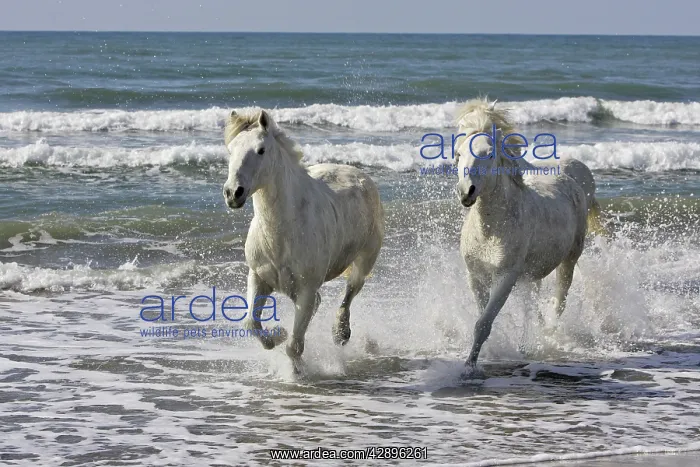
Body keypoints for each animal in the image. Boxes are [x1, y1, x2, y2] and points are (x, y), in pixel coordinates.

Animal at [222, 109, 385, 370]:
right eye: (231, 149)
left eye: (261, 150)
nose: (232, 193)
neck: (282, 234)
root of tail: (359, 174)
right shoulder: (258, 277)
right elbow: (251, 324)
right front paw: (277, 334)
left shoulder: (307, 289)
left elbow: (294, 347)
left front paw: (296, 370)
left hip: (365, 260)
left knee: (350, 291)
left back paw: (341, 333)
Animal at [454, 98, 590, 371]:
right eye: (459, 154)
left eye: (488, 154)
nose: (466, 192)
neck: (490, 232)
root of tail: (569, 175)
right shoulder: (475, 276)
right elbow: (482, 318)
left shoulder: (506, 277)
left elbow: (483, 323)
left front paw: (470, 366)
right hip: (530, 276)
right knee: (531, 306)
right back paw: (527, 345)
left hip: (568, 261)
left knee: (559, 301)